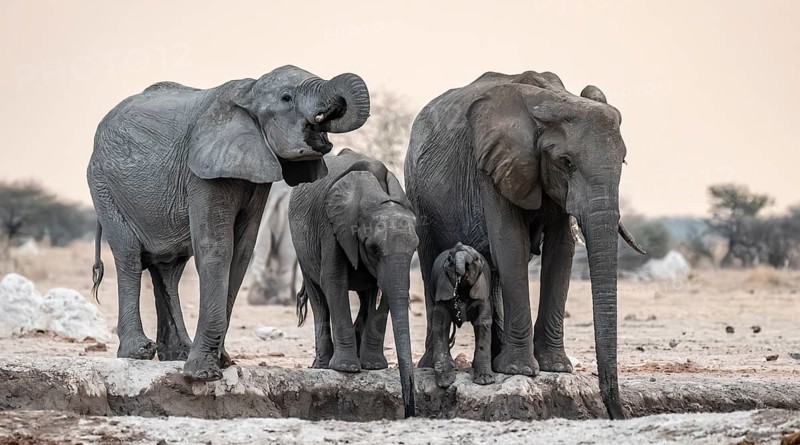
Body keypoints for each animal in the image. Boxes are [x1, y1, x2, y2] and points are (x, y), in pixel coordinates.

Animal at [87, 65, 370, 381]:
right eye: (287, 98)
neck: (249, 92)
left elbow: (241, 253)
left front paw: (221, 361)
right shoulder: (202, 171)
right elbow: (217, 249)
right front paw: (202, 374)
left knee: (168, 269)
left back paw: (177, 353)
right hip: (103, 186)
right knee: (129, 257)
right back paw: (139, 352)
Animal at [290, 148, 418, 418]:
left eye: (415, 249)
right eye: (374, 249)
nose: (410, 410)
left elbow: (383, 291)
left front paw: (373, 367)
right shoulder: (332, 226)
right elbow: (334, 281)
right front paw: (347, 369)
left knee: (366, 296)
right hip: (301, 244)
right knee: (319, 298)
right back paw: (322, 365)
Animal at [429, 242, 494, 388]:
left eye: (476, 259)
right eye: (449, 259)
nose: (460, 270)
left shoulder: (483, 290)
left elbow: (483, 323)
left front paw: (485, 381)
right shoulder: (443, 288)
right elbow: (440, 324)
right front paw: (445, 381)